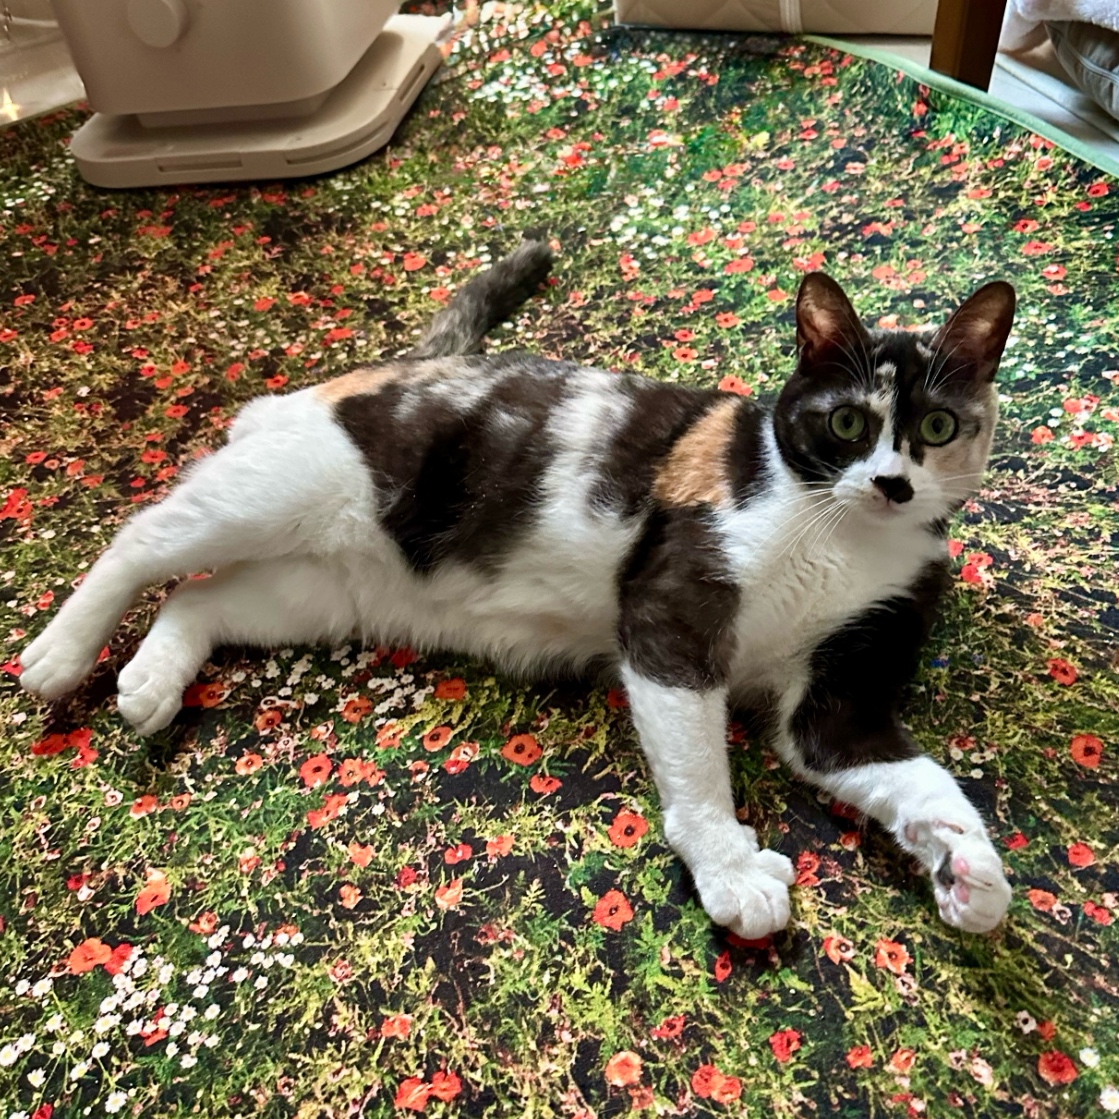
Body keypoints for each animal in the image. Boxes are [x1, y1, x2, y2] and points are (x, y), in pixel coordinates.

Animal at [20, 239, 1016, 939]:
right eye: (845, 421)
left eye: (935, 427)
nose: (890, 483)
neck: (840, 535)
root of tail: (384, 366)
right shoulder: (670, 619)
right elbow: (700, 769)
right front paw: (730, 871)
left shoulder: (837, 695)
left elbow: (908, 773)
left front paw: (967, 868)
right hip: (275, 492)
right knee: (144, 539)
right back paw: (59, 654)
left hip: (321, 588)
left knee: (206, 597)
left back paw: (150, 682)